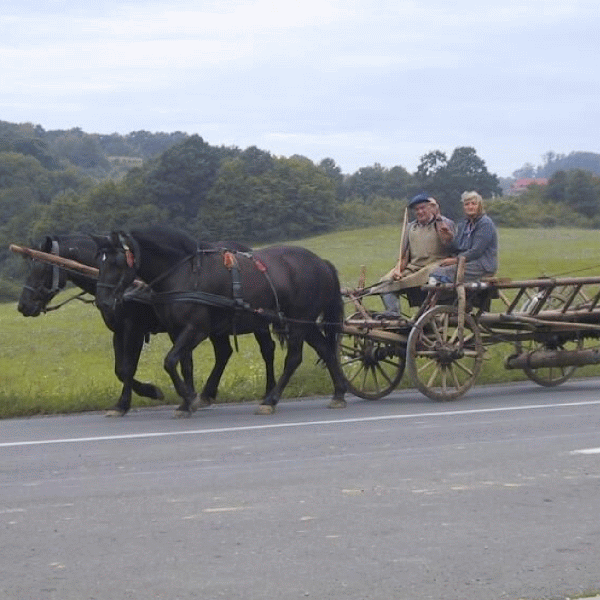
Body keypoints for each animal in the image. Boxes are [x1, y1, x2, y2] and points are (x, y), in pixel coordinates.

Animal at [15, 232, 274, 414]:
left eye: (42, 266)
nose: (23, 306)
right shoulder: (119, 331)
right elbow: (121, 369)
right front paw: (165, 394)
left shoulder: (134, 329)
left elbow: (129, 367)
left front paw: (137, 398)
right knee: (224, 352)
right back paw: (208, 394)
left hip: (255, 322)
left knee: (266, 350)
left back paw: (267, 393)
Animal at [94, 225, 346, 418]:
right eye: (100, 261)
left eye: (118, 262)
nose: (103, 301)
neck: (184, 272)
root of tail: (321, 263)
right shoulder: (176, 331)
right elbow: (183, 364)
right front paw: (186, 402)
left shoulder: (195, 329)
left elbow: (169, 361)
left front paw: (188, 397)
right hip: (304, 323)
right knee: (325, 349)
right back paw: (339, 393)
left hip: (297, 323)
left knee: (293, 358)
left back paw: (270, 399)